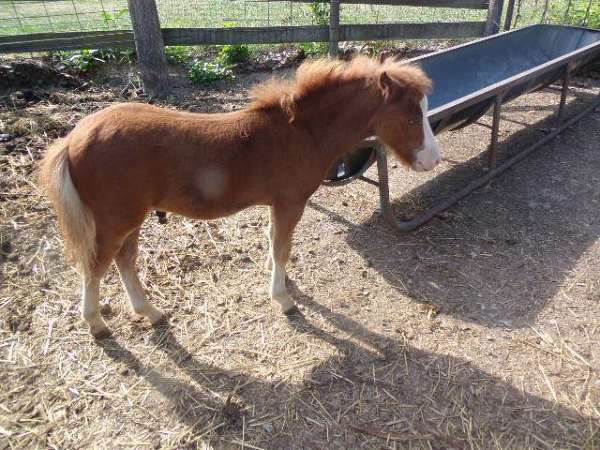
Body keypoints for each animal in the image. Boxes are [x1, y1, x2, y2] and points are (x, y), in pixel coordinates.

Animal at [38, 56, 440, 338]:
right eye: (410, 118)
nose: (433, 160)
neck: (302, 133)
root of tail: (71, 139)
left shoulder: (277, 204)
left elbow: (272, 241)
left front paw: (280, 282)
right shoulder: (290, 202)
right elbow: (282, 247)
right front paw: (283, 299)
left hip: (130, 218)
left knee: (124, 261)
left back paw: (150, 312)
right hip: (115, 219)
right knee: (96, 266)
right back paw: (96, 324)